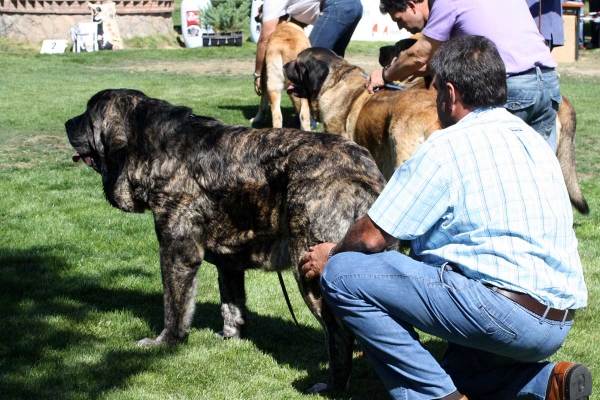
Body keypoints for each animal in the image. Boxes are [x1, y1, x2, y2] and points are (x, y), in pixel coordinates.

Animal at [64, 88, 384, 394]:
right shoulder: (229, 263)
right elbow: (231, 304)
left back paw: (333, 385)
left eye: (87, 115)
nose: (67, 123)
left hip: (309, 267)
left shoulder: (176, 252)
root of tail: (364, 169)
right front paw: (230, 336)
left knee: (339, 334)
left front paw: (167, 341)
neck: (152, 145)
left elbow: (174, 306)